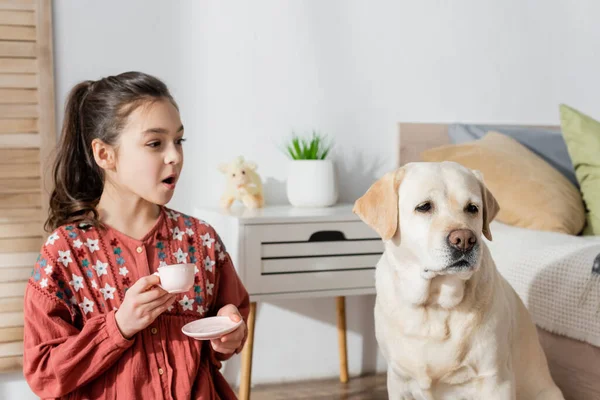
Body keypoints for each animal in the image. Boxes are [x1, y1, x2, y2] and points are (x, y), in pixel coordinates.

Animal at [352, 162, 564, 400]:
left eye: (472, 208)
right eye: (424, 207)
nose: (464, 240)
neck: (434, 305)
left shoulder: (495, 379)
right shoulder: (398, 381)